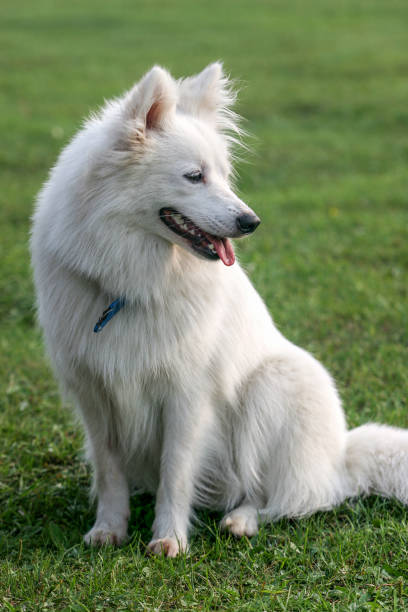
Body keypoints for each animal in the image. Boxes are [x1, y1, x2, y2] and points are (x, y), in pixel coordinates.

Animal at [31, 63, 408, 556]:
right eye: (194, 176)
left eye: (224, 175)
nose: (252, 222)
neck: (132, 281)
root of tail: (341, 457)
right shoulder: (97, 397)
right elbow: (110, 474)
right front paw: (109, 530)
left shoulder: (187, 396)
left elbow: (175, 473)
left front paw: (169, 539)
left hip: (273, 387)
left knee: (288, 498)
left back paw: (242, 520)